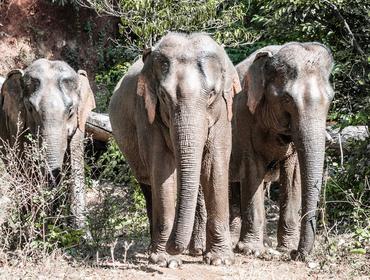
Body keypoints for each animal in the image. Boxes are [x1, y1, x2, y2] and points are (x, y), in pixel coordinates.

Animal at [0, 58, 95, 230]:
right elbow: (25, 166)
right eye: (30, 108)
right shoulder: (16, 124)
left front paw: (81, 234)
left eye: (71, 110)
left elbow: (76, 163)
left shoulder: (79, 123)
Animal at [108, 31, 241, 266]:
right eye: (163, 95)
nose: (173, 247)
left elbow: (214, 165)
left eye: (211, 94)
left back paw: (196, 251)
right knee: (148, 184)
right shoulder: (146, 112)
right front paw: (164, 260)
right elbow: (162, 169)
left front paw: (220, 260)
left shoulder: (224, 112)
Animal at [230, 42, 334, 260]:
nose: (297, 254)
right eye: (287, 100)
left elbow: (294, 174)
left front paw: (286, 248)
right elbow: (252, 168)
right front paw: (252, 250)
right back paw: (235, 242)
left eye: (330, 100)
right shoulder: (242, 116)